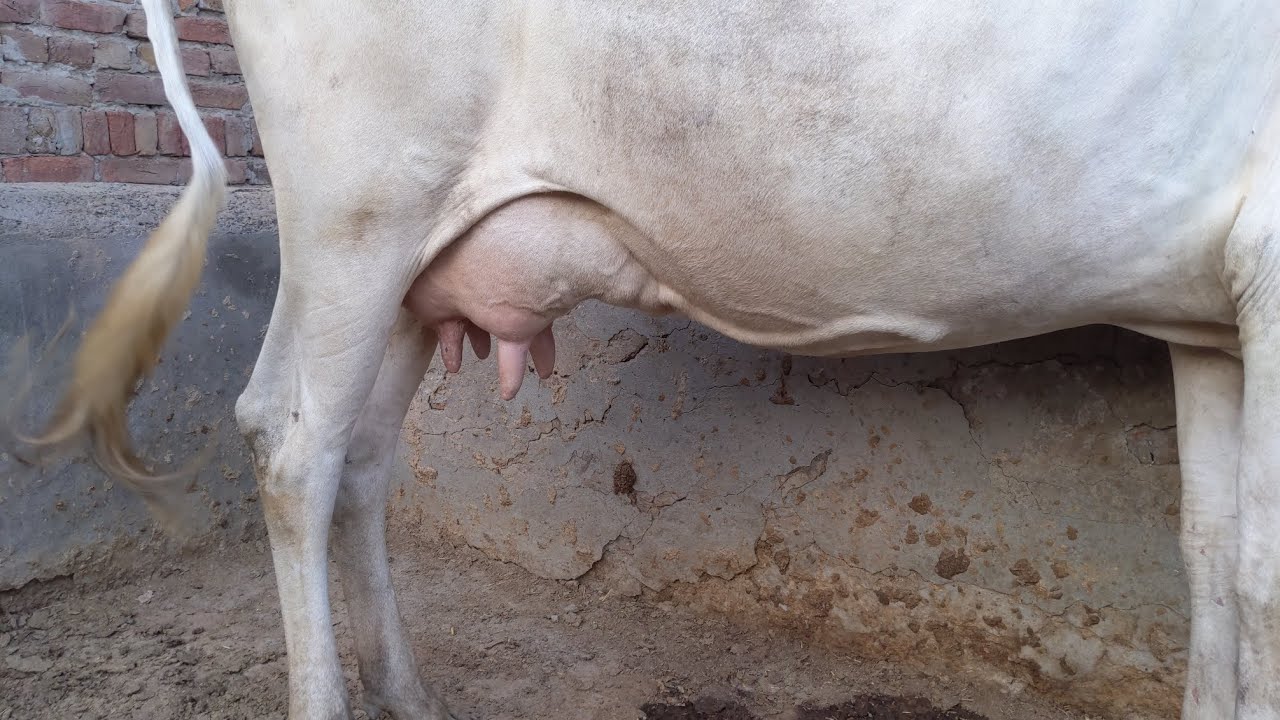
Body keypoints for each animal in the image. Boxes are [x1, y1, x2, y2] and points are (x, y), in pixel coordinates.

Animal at [10, 1, 1279, 718]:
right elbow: (1263, 578)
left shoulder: (1213, 319)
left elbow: (1210, 553)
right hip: (354, 208)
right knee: (292, 441)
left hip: (415, 262)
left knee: (363, 456)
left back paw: (408, 694)